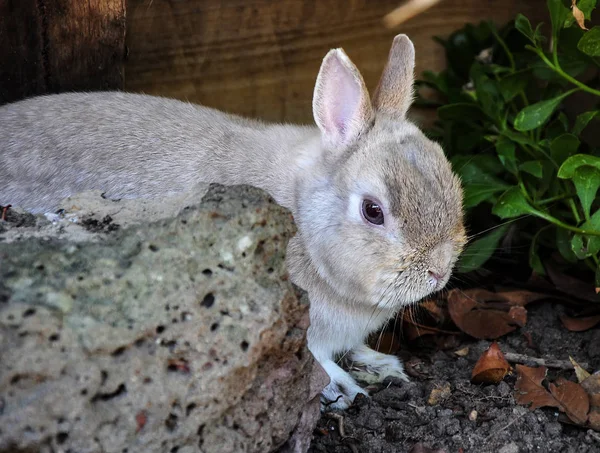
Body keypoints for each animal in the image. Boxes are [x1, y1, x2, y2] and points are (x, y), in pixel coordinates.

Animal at [0, 35, 466, 410]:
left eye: (452, 179)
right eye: (373, 211)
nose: (438, 272)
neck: (300, 212)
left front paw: (383, 364)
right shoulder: (301, 327)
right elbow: (317, 358)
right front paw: (343, 388)